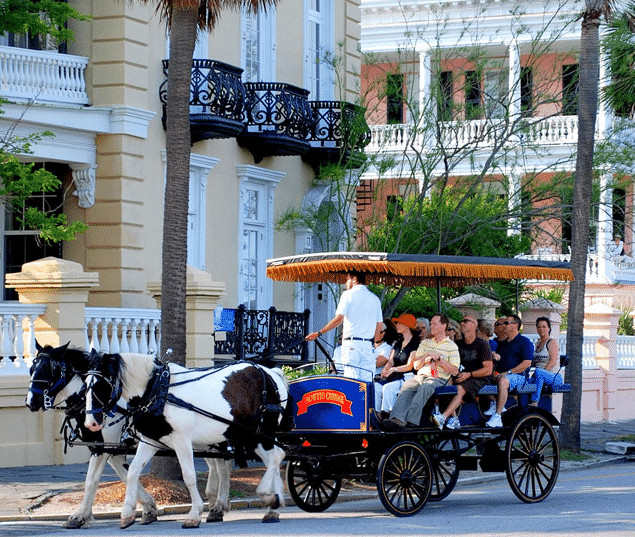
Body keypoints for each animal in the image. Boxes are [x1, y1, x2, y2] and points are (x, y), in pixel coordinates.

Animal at [84, 352, 294, 528]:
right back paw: (272, 506)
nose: (90, 423)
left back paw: (267, 496)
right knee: (274, 458)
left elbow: (189, 476)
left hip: (260, 432)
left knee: (277, 457)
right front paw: (127, 513)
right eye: (85, 385)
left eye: (101, 386)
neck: (158, 389)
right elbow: (133, 471)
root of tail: (271, 372)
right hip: (250, 435)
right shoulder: (151, 441)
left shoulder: (182, 440)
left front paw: (194, 514)